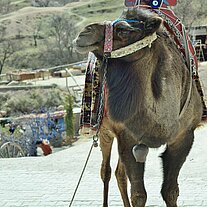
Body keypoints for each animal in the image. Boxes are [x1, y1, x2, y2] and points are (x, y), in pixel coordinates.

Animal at [73, 7, 203, 207]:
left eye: (123, 30)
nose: (83, 33)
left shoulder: (184, 136)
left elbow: (170, 191)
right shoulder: (127, 137)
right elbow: (139, 195)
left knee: (119, 173)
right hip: (104, 131)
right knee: (106, 171)